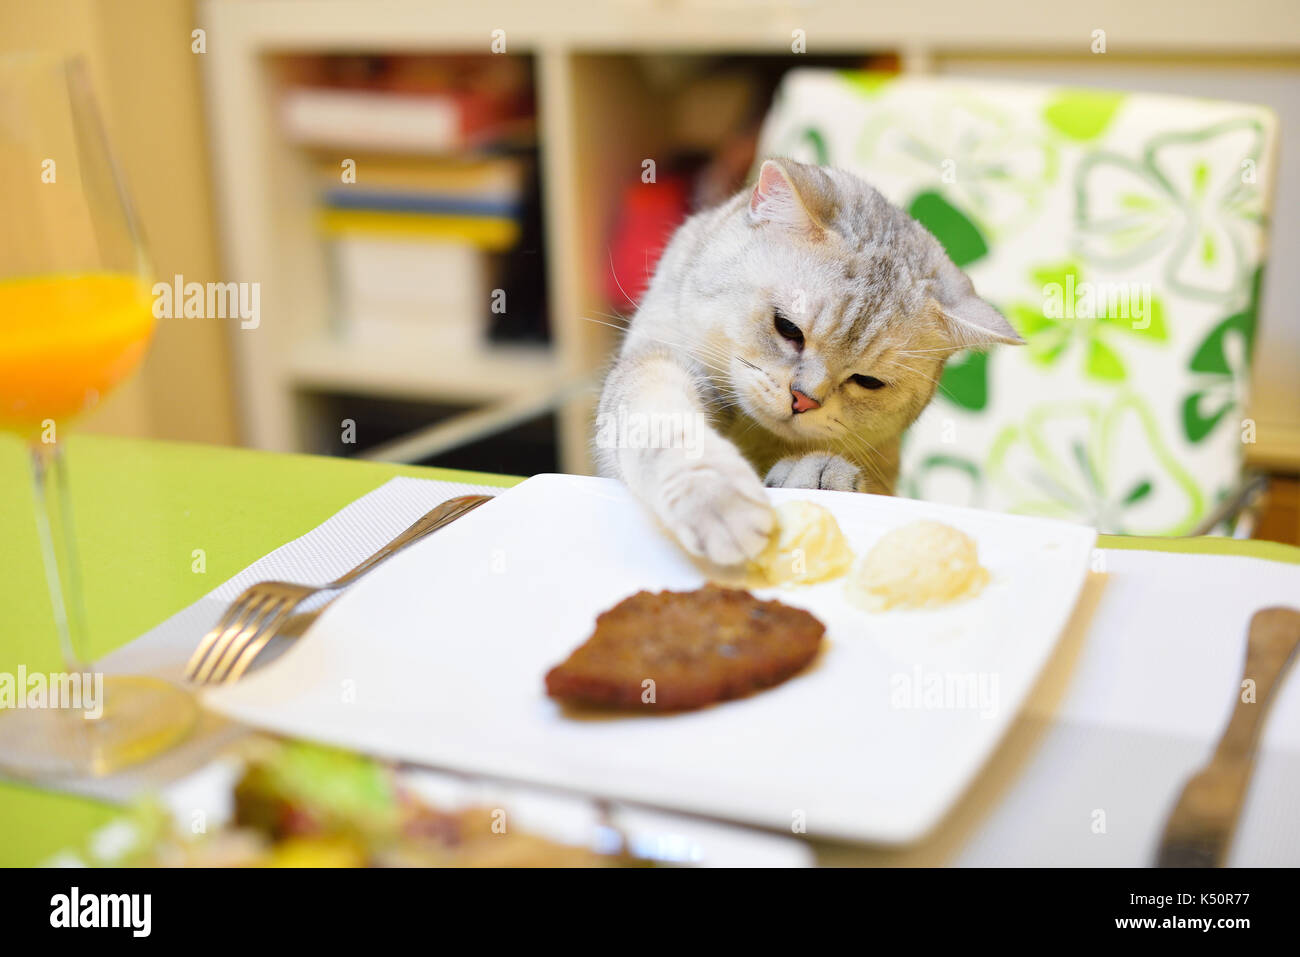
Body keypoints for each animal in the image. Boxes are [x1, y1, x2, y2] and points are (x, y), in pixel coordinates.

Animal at [595, 158, 1019, 566]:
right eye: (788, 328)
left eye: (868, 381)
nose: (803, 400)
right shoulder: (657, 360)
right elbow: (666, 423)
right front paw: (716, 498)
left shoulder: (884, 473)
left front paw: (813, 475)